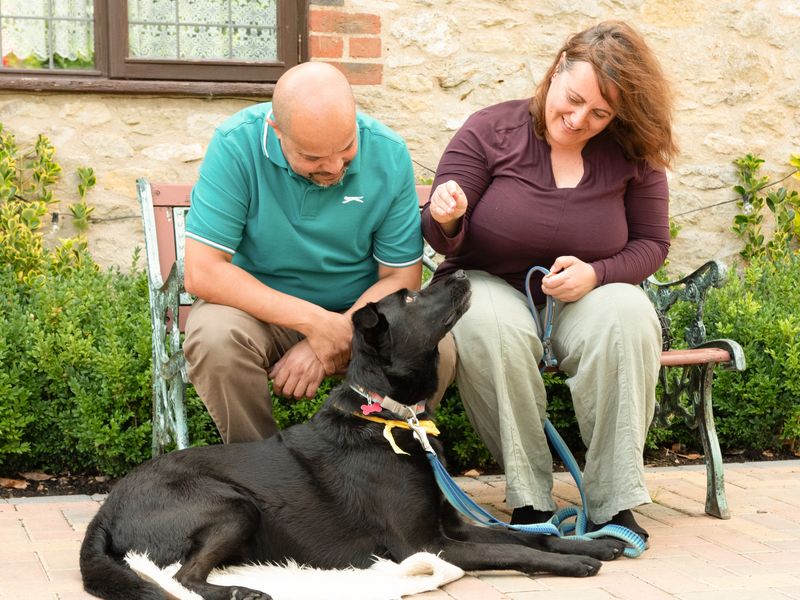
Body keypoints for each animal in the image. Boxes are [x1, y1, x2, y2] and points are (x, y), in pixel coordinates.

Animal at [79, 274, 624, 600]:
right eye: (411, 297)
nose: (458, 272)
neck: (393, 417)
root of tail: (107, 509)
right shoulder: (426, 545)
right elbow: (517, 550)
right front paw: (578, 564)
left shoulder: (453, 527)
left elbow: (527, 535)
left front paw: (593, 546)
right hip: (232, 505)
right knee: (179, 578)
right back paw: (241, 591)